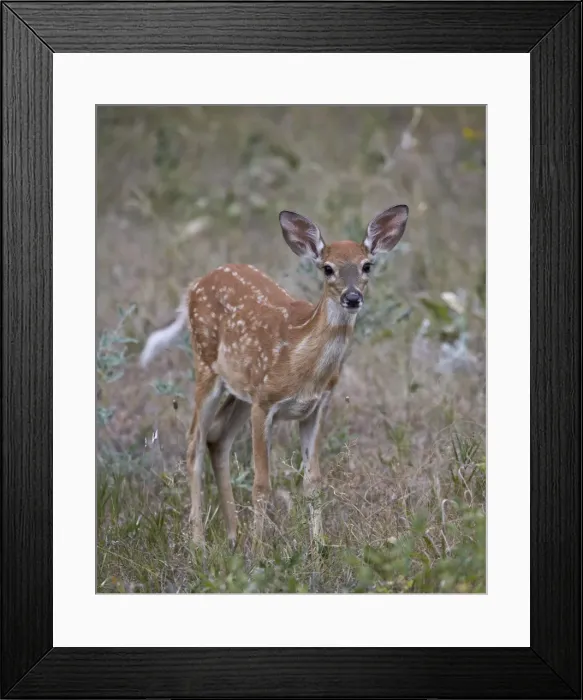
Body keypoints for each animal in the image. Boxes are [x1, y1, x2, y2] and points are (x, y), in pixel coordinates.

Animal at [139, 204, 409, 551]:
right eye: (327, 268)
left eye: (367, 265)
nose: (352, 298)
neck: (304, 366)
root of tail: (194, 285)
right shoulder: (265, 403)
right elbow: (261, 485)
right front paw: (260, 553)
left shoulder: (315, 408)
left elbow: (313, 482)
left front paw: (318, 548)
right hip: (207, 366)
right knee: (193, 443)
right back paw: (199, 544)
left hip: (240, 390)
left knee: (217, 437)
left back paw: (233, 536)